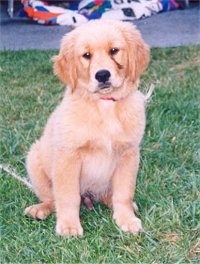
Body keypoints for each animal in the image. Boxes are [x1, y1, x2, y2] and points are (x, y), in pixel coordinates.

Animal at [24, 19, 149, 237]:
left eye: (114, 51)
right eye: (86, 55)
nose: (102, 75)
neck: (105, 105)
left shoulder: (128, 154)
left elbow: (123, 193)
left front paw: (126, 219)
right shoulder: (68, 156)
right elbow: (67, 196)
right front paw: (68, 226)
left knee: (109, 195)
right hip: (34, 159)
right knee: (51, 198)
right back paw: (40, 209)